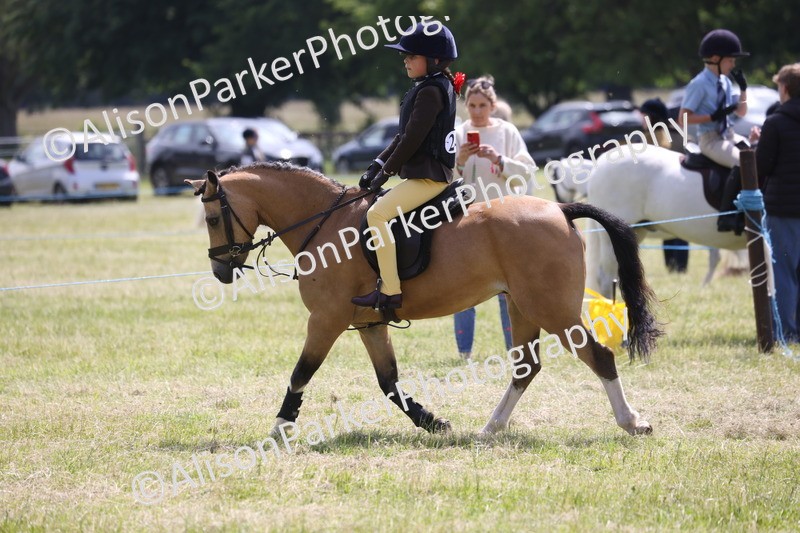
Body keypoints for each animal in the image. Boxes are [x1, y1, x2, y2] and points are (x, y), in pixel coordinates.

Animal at [187, 161, 662, 438]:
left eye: (211, 218)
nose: (220, 271)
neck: (324, 225)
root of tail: (560, 210)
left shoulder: (325, 319)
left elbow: (302, 372)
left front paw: (280, 426)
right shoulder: (370, 323)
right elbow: (389, 382)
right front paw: (432, 421)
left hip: (552, 309)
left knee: (598, 356)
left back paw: (632, 421)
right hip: (522, 306)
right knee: (526, 367)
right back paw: (490, 428)